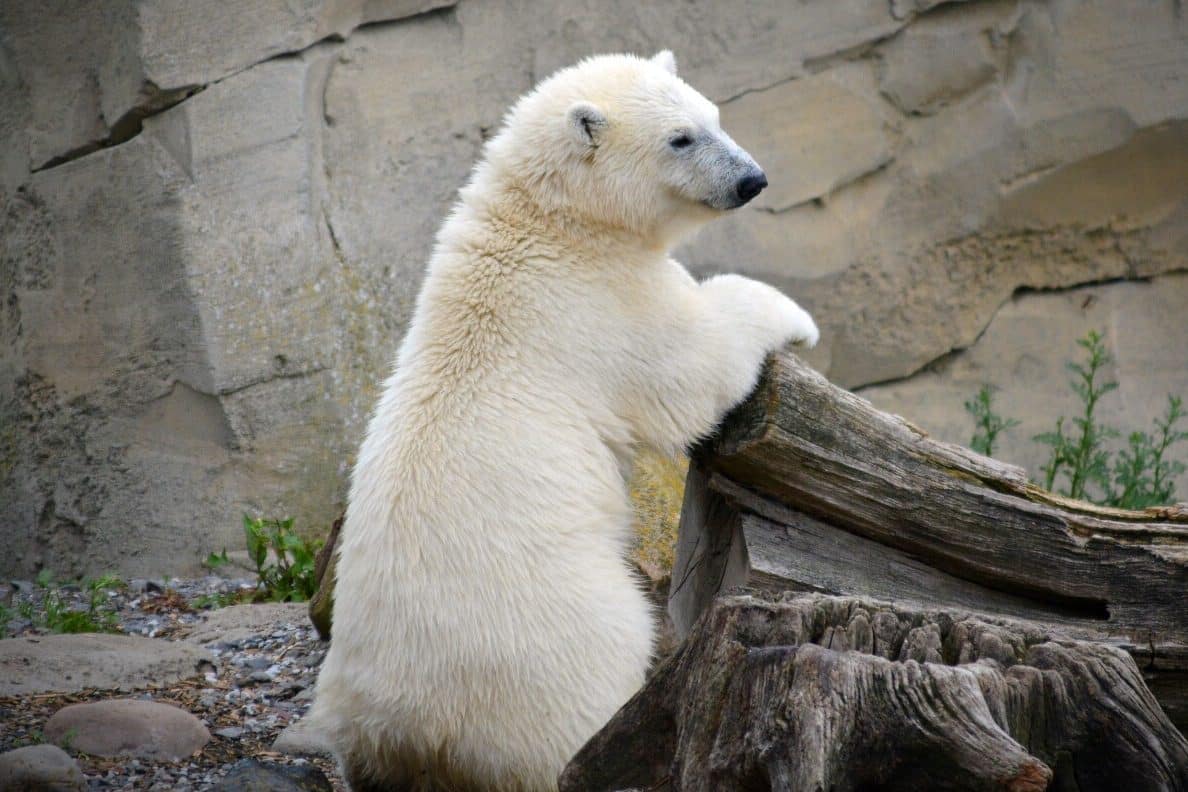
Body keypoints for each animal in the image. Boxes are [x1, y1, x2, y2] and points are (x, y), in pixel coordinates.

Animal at [307, 50, 819, 792]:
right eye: (681, 138)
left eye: (715, 115)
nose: (753, 179)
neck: (549, 224)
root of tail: (399, 721)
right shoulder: (599, 304)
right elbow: (691, 368)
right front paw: (795, 317)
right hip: (547, 635)